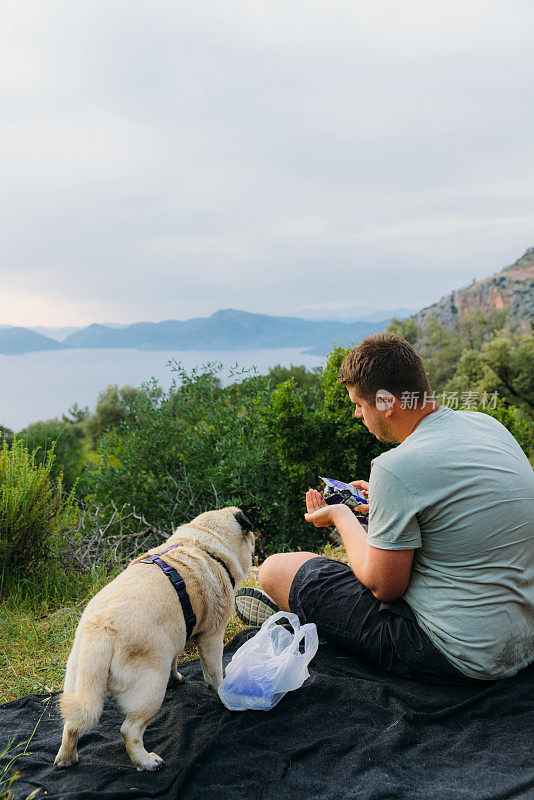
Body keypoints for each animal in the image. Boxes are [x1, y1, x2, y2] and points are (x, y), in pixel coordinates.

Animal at [55, 510, 255, 772]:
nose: (255, 541)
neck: (202, 544)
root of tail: (102, 631)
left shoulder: (174, 638)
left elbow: (174, 661)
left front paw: (177, 679)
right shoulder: (212, 637)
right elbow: (214, 675)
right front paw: (223, 693)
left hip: (77, 683)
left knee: (71, 724)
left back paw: (67, 758)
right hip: (149, 688)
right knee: (130, 730)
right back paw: (146, 761)